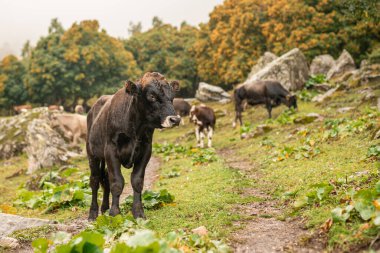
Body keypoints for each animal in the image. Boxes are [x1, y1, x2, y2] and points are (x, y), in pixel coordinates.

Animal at [86, 71, 181, 219]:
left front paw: (138, 212)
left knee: (104, 179)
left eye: (172, 96)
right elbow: (117, 182)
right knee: (95, 181)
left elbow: (137, 181)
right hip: (92, 154)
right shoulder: (111, 150)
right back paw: (93, 213)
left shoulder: (146, 150)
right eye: (152, 96)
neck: (135, 129)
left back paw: (105, 208)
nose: (175, 119)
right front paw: (115, 213)